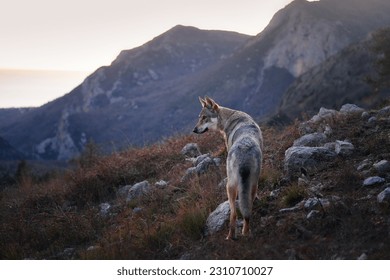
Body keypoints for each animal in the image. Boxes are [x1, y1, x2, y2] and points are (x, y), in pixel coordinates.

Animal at [193, 97, 264, 241]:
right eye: (199, 117)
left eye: (204, 117)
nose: (194, 130)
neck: (229, 117)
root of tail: (244, 151)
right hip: (253, 183)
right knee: (247, 210)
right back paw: (246, 232)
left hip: (229, 186)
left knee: (234, 214)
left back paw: (230, 237)